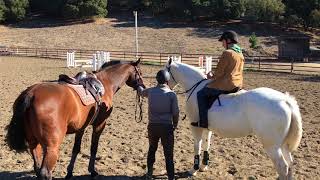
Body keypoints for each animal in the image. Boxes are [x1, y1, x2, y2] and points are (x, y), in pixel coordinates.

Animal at [5, 59, 145, 179]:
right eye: (140, 72)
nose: (142, 86)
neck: (106, 83)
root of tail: (31, 93)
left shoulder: (81, 128)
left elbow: (76, 149)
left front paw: (69, 172)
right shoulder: (100, 124)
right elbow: (94, 147)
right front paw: (92, 171)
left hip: (34, 142)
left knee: (37, 168)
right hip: (52, 147)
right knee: (45, 172)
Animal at [165, 58, 302, 179]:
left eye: (164, 72)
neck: (196, 86)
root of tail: (285, 100)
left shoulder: (196, 127)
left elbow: (197, 146)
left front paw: (194, 169)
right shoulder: (207, 128)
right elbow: (206, 145)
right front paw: (204, 167)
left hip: (272, 146)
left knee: (283, 167)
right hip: (283, 145)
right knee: (290, 163)